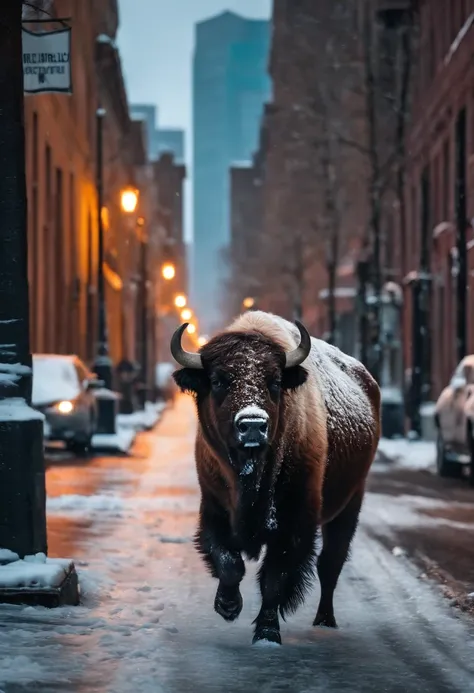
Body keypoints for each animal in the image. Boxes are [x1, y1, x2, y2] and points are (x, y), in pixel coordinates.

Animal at [170, 310, 382, 648]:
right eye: (217, 381)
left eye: (275, 381)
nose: (253, 425)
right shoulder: (214, 509)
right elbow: (229, 562)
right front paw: (228, 606)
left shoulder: (293, 522)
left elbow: (274, 578)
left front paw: (267, 633)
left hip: (350, 503)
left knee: (330, 565)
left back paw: (325, 621)